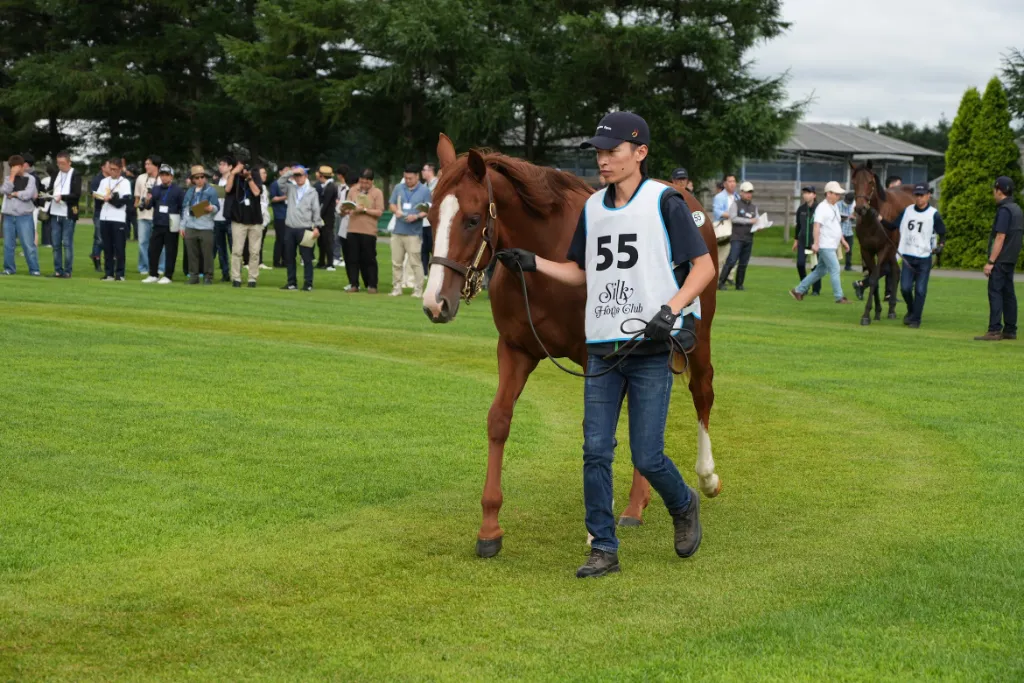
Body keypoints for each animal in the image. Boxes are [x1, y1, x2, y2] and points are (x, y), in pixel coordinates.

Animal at [422, 133, 722, 558]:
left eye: (472, 219)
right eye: (431, 218)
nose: (435, 303)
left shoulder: (593, 356)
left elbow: (599, 431)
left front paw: (597, 529)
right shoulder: (514, 350)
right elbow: (499, 420)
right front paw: (489, 527)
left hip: (697, 335)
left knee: (701, 391)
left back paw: (705, 478)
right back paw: (636, 504)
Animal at [849, 162, 914, 325]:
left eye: (870, 182)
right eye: (854, 183)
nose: (860, 208)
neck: (873, 220)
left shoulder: (884, 248)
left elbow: (874, 278)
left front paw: (866, 315)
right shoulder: (866, 250)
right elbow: (875, 278)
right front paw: (876, 311)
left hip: (894, 248)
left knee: (895, 271)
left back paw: (893, 309)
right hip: (892, 251)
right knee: (895, 270)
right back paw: (890, 308)